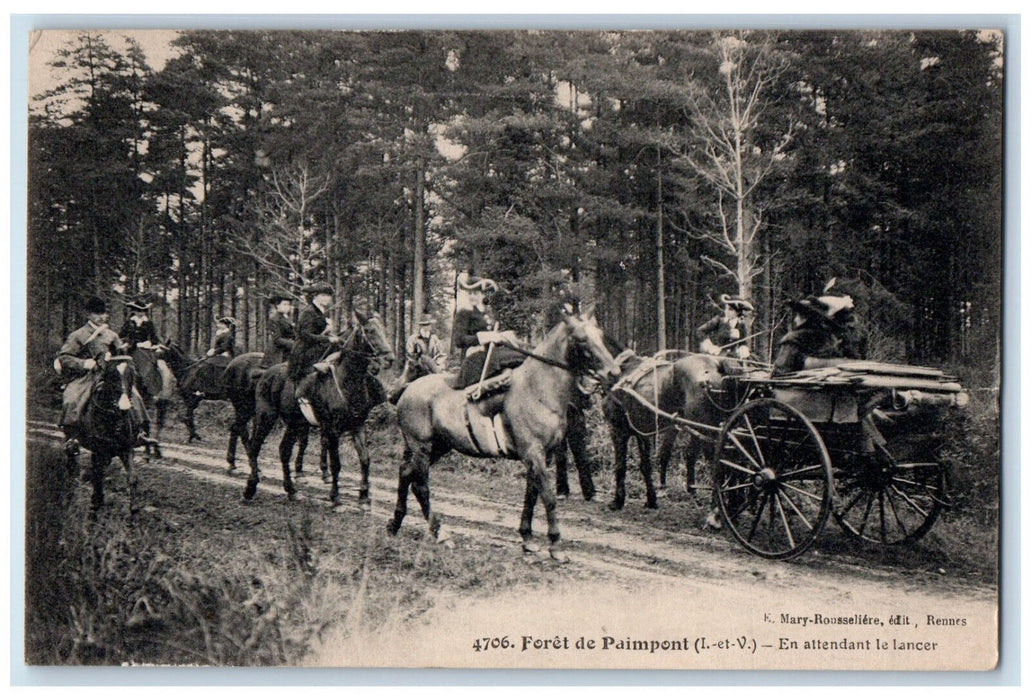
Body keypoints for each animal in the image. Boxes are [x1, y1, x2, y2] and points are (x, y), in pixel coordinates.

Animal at [64, 356, 147, 515]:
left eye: (132, 375)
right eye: (112, 376)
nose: (125, 406)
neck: (112, 418)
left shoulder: (127, 449)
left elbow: (132, 477)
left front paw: (133, 507)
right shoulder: (98, 450)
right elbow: (97, 476)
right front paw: (94, 504)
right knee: (72, 461)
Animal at [243, 315, 395, 507]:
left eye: (382, 329)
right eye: (369, 331)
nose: (389, 358)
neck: (347, 381)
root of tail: (264, 374)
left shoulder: (358, 426)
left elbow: (365, 459)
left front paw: (364, 497)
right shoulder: (331, 429)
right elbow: (336, 463)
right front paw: (335, 496)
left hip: (293, 423)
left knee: (284, 451)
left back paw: (291, 490)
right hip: (266, 416)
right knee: (255, 447)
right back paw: (250, 487)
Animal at [385, 311, 614, 556]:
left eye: (600, 335)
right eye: (581, 339)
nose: (612, 371)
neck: (538, 389)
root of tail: (407, 391)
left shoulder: (542, 456)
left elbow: (532, 496)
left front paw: (527, 537)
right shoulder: (533, 453)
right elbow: (548, 497)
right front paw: (554, 543)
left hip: (439, 446)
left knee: (406, 473)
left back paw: (395, 523)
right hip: (422, 446)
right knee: (420, 486)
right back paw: (441, 533)